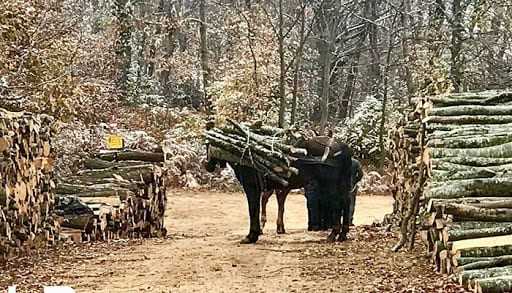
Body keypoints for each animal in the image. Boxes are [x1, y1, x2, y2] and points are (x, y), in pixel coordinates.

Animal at [205, 143, 352, 243]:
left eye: (207, 145)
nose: (207, 165)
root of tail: (343, 148)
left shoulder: (252, 188)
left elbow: (253, 209)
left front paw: (252, 235)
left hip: (330, 185)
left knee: (337, 204)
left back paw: (333, 234)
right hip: (342, 184)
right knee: (346, 203)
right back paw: (342, 234)